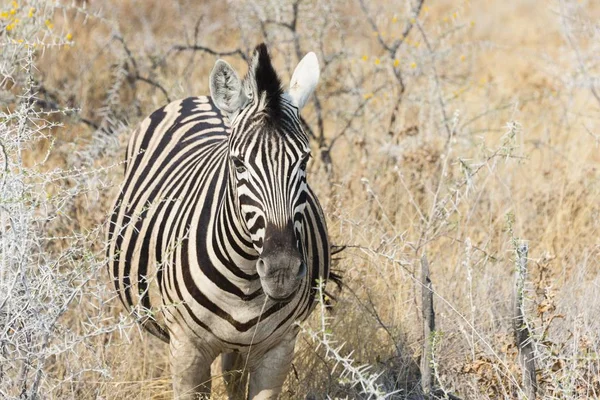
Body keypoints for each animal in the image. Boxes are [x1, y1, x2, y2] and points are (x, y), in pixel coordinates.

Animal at [108, 42, 332, 398]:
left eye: (304, 161)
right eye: (238, 164)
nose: (281, 270)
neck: (246, 283)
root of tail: (199, 98)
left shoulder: (278, 350)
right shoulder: (187, 350)